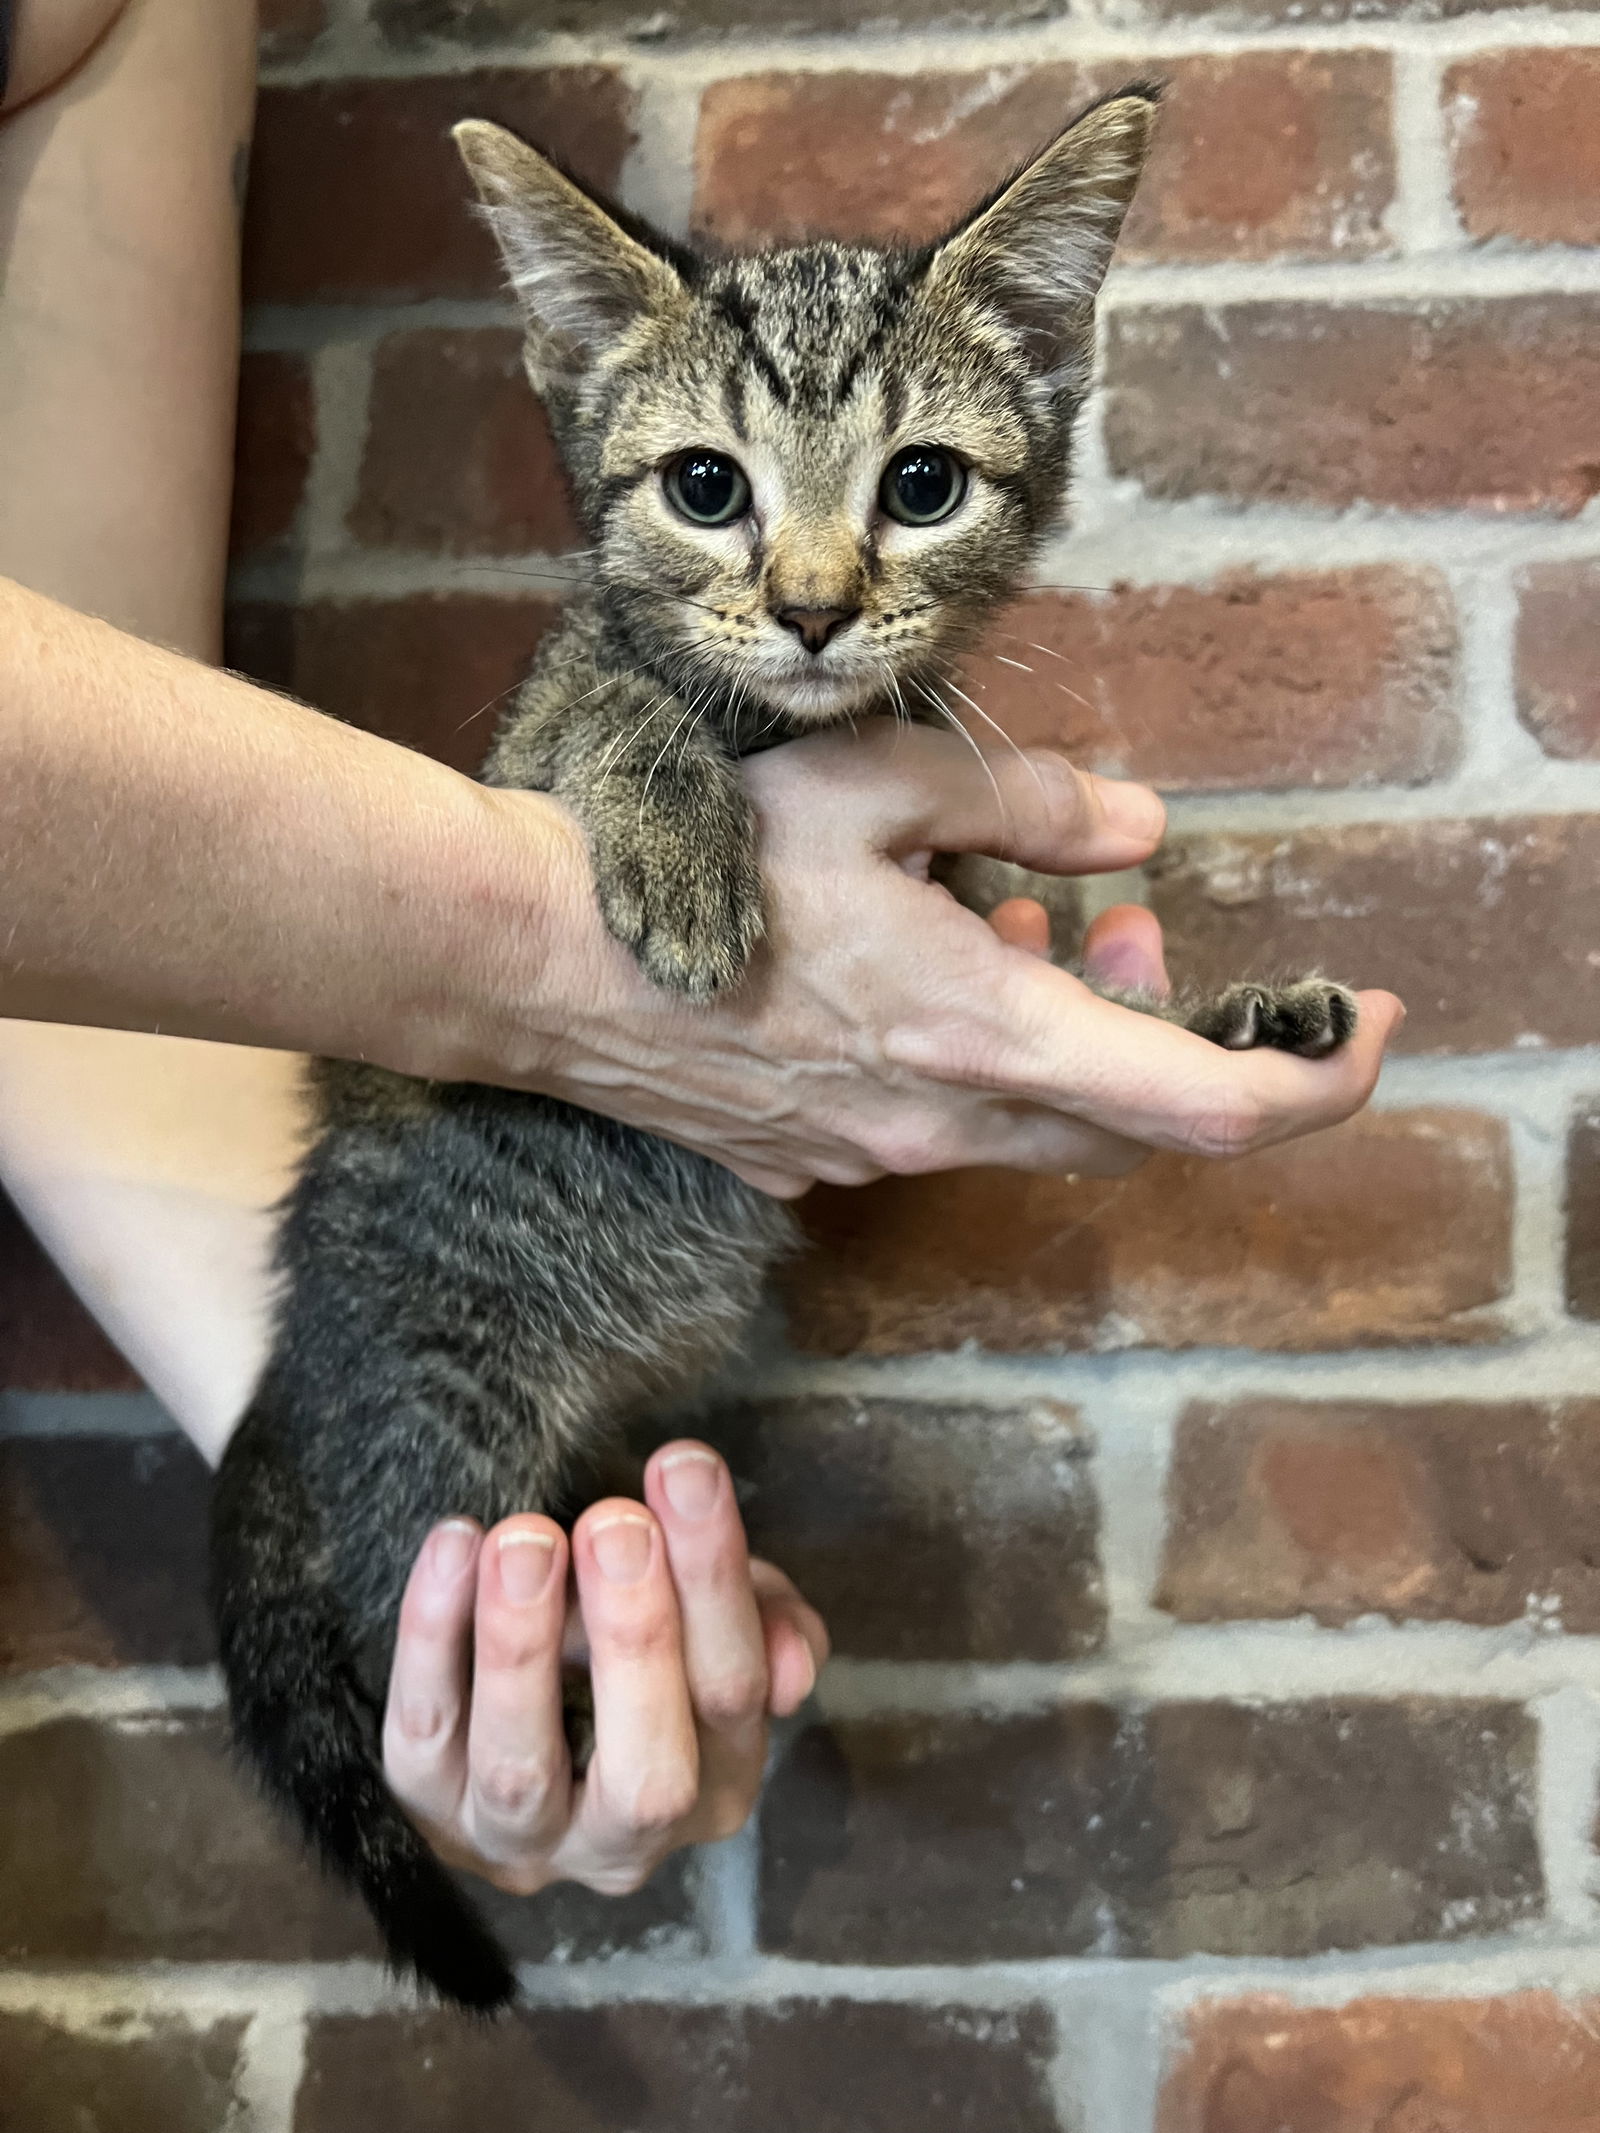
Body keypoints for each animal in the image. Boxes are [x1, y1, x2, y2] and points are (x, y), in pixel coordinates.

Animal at [210, 83, 1365, 2013]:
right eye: (705, 487)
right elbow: (613, 695)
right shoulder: (534, 737)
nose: (818, 607)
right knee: (400, 1611)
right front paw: (680, 832)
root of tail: (287, 1384)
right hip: (443, 1405)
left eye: (923, 485)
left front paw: (1214, 1010)